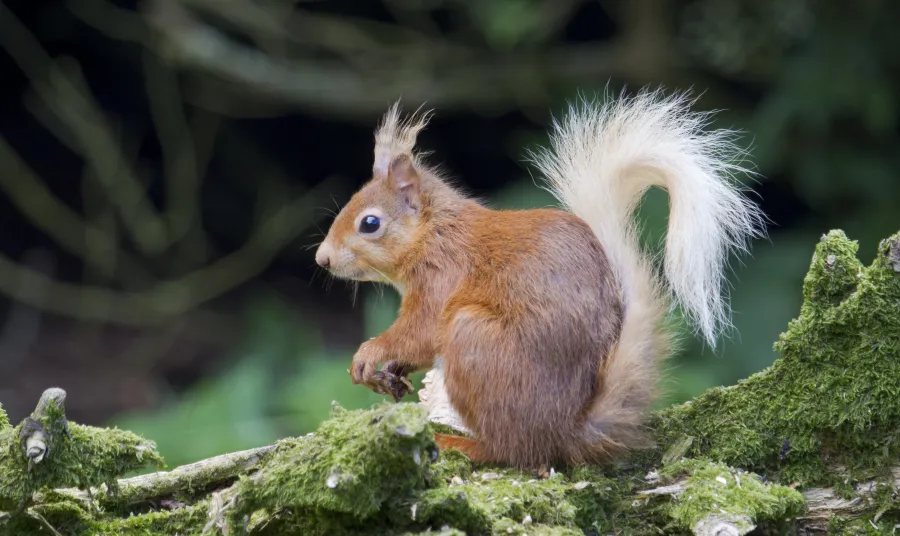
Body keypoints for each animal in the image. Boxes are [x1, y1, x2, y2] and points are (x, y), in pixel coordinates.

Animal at [314, 89, 765, 469]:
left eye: (370, 223)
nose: (322, 258)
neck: (435, 233)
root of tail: (564, 431)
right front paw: (390, 373)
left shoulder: (442, 279)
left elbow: (419, 332)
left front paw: (370, 353)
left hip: (473, 339)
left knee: (513, 452)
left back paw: (459, 444)